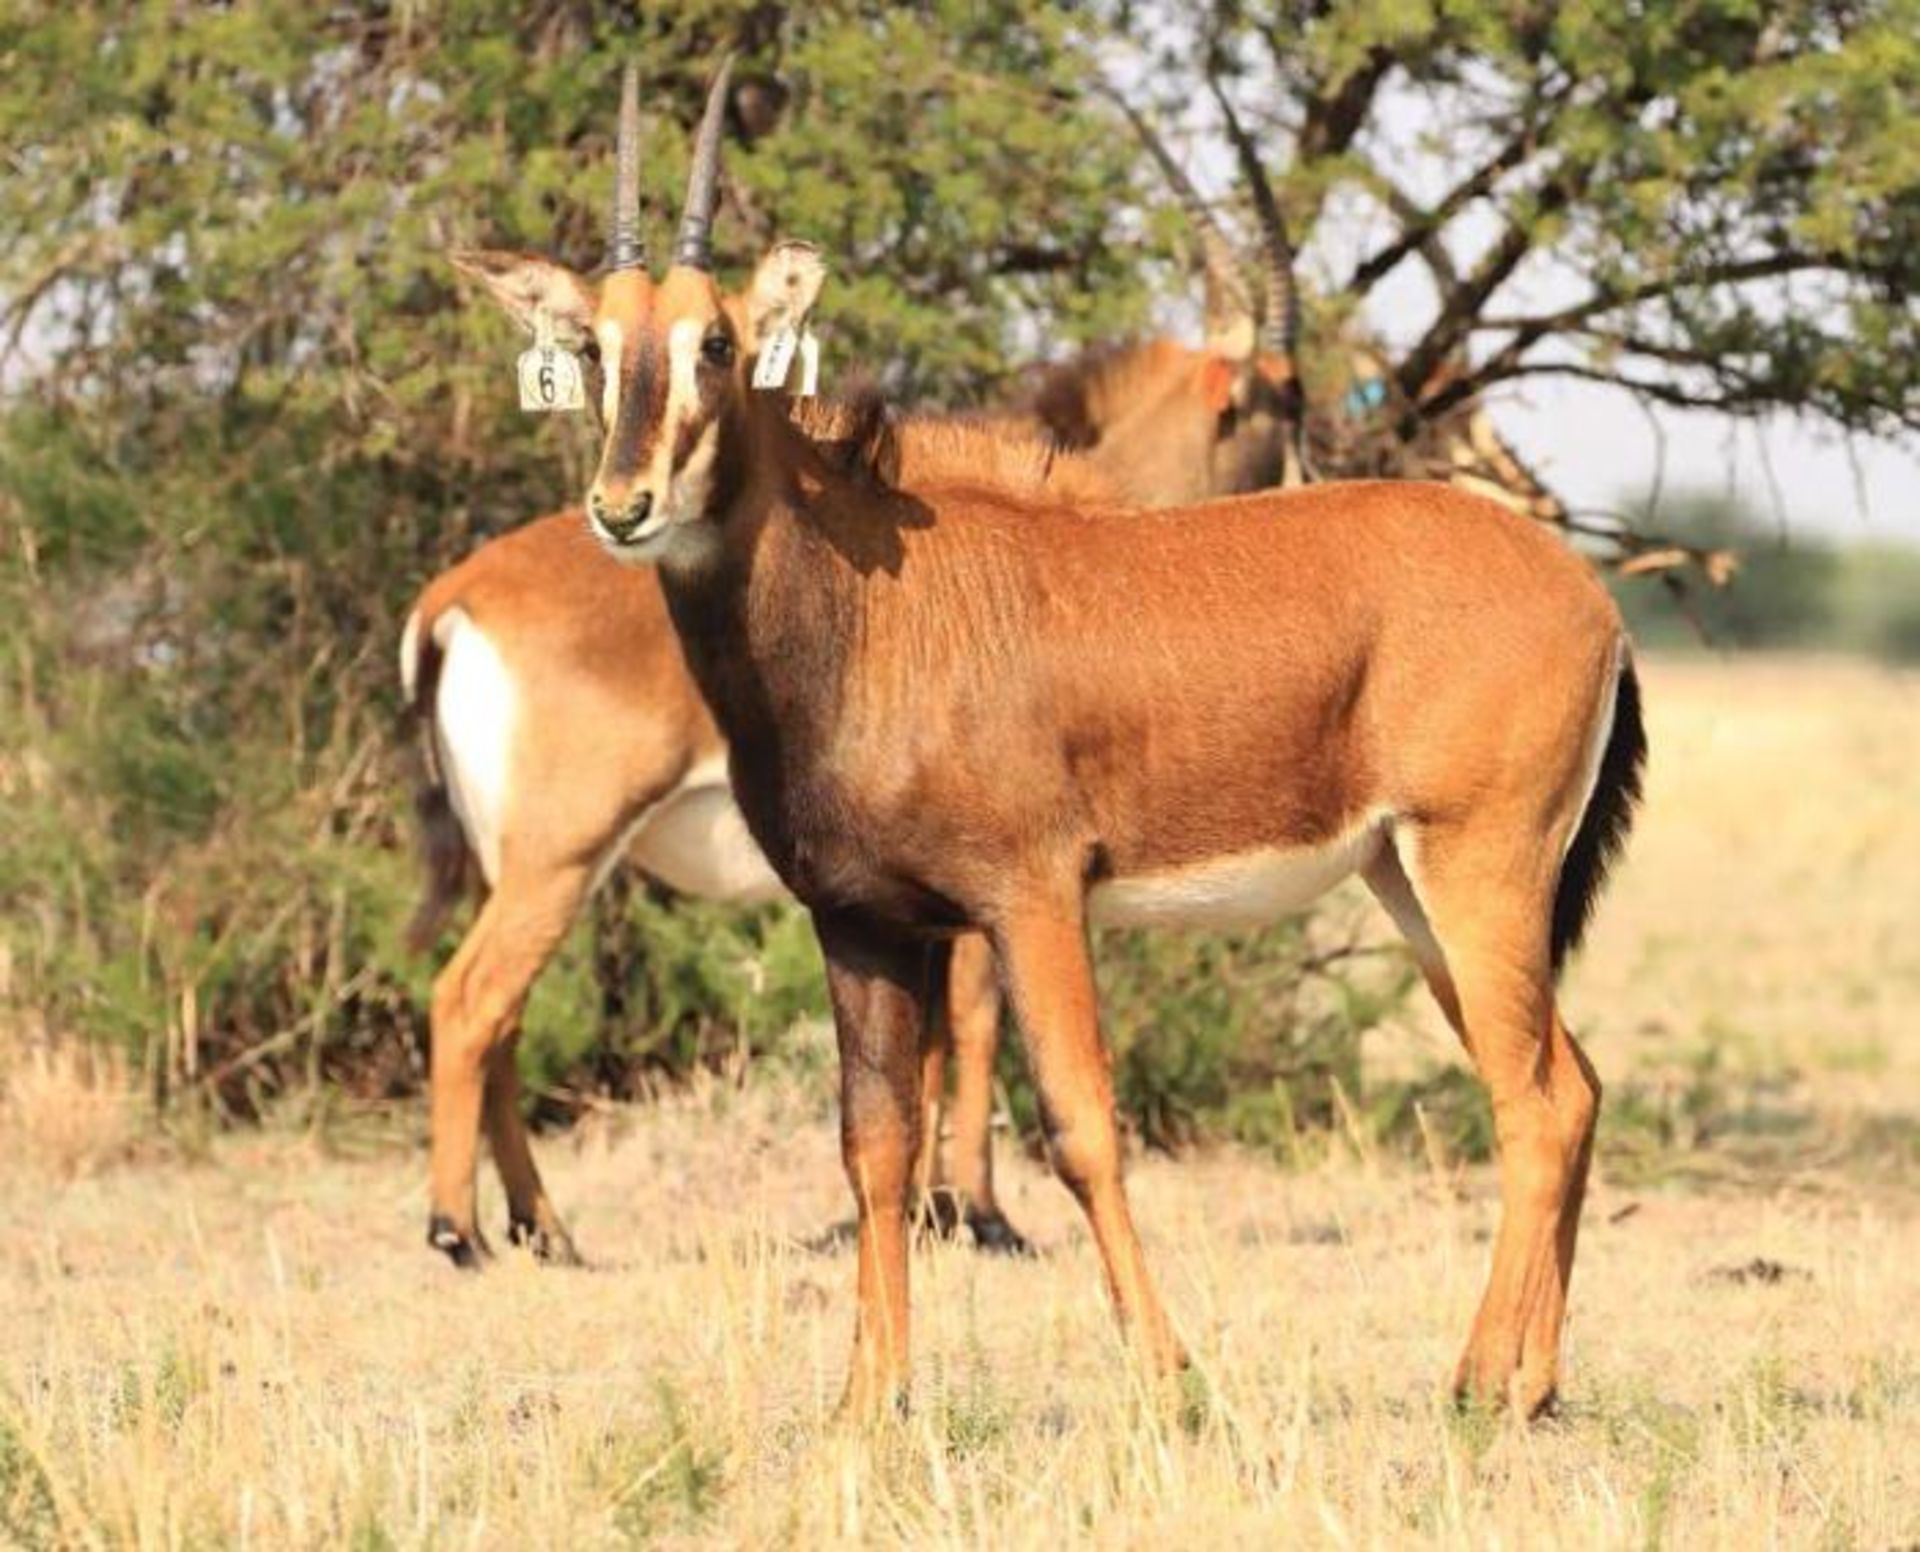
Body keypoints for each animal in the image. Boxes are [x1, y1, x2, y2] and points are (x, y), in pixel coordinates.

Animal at [460, 60, 1651, 1421]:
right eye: (591, 347)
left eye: (716, 342)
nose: (624, 506)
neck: (869, 607)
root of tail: (1587, 594)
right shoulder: (863, 922)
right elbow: (874, 1146)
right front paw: (870, 1400)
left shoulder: (1031, 898)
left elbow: (1082, 1126)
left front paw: (1169, 1377)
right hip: (1417, 887)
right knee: (1573, 1084)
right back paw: (1533, 1381)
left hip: (1478, 869)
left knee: (1535, 1100)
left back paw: (1480, 1385)